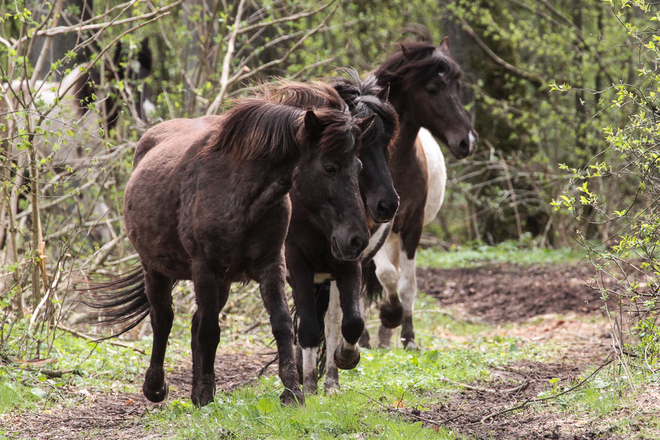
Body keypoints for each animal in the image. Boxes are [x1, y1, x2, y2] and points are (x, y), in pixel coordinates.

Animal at [83, 81, 374, 406]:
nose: (357, 239)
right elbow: (210, 331)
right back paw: (156, 387)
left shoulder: (271, 264)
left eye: (358, 166)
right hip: (157, 269)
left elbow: (281, 323)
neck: (239, 193)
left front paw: (292, 392)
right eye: (330, 168)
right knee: (164, 319)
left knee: (194, 322)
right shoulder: (206, 267)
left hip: (221, 282)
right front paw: (206, 393)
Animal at [286, 72, 400, 396]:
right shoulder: (297, 262)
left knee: (332, 319)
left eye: (387, 142)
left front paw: (345, 358)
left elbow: (349, 323)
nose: (388, 204)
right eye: (360, 149)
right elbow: (308, 326)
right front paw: (307, 383)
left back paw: (331, 380)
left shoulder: (349, 259)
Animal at [358, 37, 476, 350]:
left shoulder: (413, 225)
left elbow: (406, 283)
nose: (468, 141)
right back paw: (363, 338)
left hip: (395, 235)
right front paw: (389, 314)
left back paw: (384, 338)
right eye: (432, 89)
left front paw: (407, 334)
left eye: (457, 87)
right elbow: (385, 274)